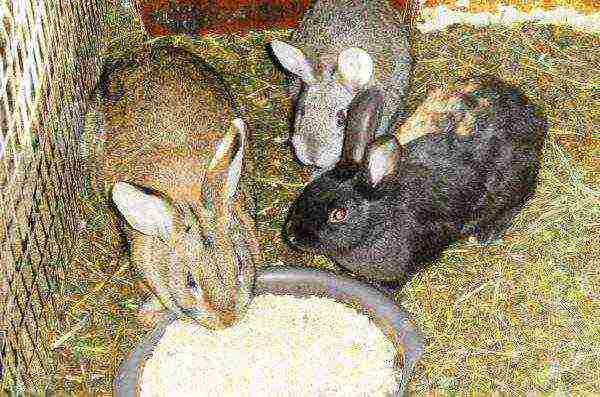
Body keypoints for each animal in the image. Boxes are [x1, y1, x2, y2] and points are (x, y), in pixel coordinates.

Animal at [81, 42, 260, 328]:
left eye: (240, 263)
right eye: (190, 282)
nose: (227, 320)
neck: (187, 196)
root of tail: (145, 52)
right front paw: (149, 314)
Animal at [284, 76, 548, 288]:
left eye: (339, 214)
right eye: (311, 188)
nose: (293, 236)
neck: (379, 222)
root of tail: (534, 117)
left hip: (512, 184)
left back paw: (487, 233)